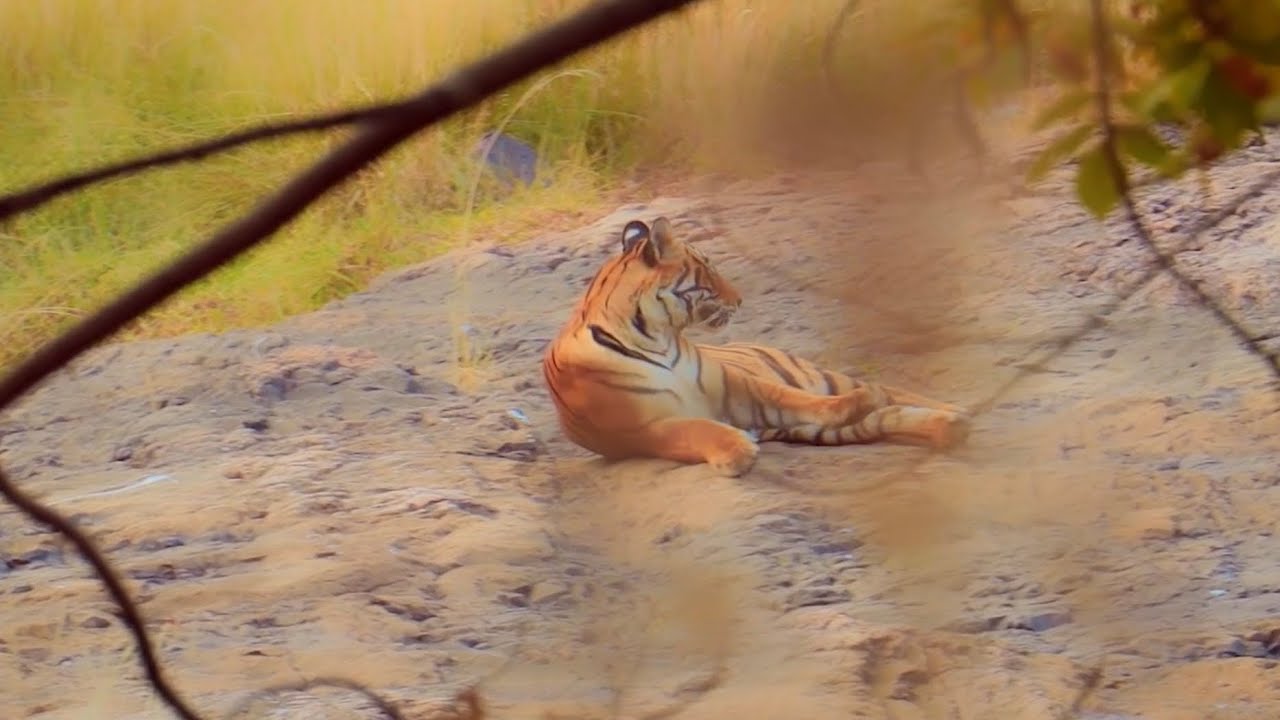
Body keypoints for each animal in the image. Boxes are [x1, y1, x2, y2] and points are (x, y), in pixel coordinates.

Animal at [541, 215, 972, 477]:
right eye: (708, 269)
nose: (741, 299)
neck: (654, 334)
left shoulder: (734, 385)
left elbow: (791, 397)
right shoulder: (641, 427)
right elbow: (696, 429)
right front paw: (737, 452)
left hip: (821, 377)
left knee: (892, 393)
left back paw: (955, 411)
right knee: (885, 415)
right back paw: (952, 426)